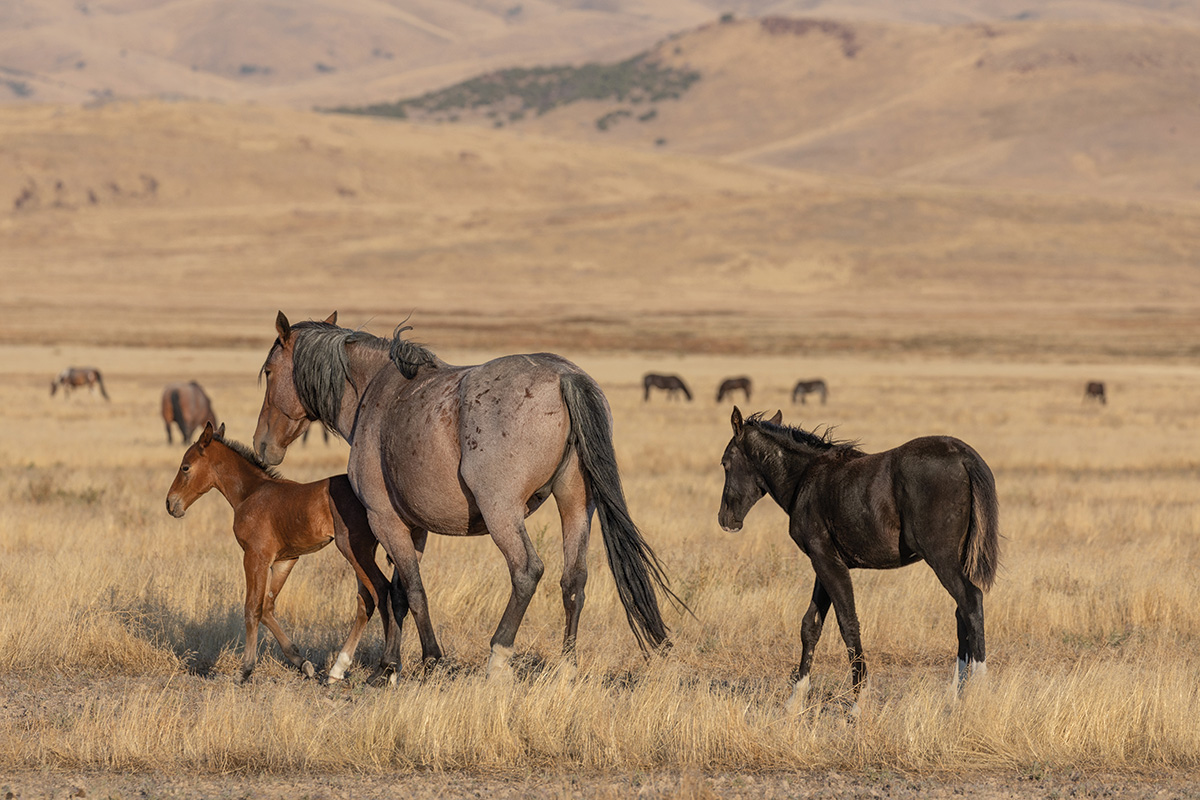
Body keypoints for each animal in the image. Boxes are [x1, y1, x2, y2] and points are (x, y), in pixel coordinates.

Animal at [164, 422, 396, 686]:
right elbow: (267, 607)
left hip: (353, 549)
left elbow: (252, 608)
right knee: (366, 600)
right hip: (362, 554)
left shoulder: (255, 557)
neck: (250, 493)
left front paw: (245, 670)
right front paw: (302, 662)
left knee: (382, 592)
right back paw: (339, 670)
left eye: (185, 467)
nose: (170, 504)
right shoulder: (285, 561)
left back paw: (387, 668)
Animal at [253, 311, 686, 681]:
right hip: (576, 505)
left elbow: (412, 591)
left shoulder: (385, 520)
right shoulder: (414, 528)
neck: (374, 392)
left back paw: (498, 658)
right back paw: (567, 666)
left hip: (502, 513)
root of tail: (565, 376)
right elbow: (398, 593)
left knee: (527, 571)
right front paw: (390, 666)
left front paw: (428, 660)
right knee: (574, 580)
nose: (261, 446)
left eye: (269, 372)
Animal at [715, 410, 998, 710]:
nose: (725, 519)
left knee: (971, 600)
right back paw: (956, 694)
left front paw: (859, 702)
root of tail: (964, 456)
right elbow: (810, 625)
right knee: (961, 611)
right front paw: (795, 699)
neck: (805, 478)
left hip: (940, 557)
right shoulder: (824, 563)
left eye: (725, 463)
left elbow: (848, 624)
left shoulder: (826, 561)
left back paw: (979, 689)